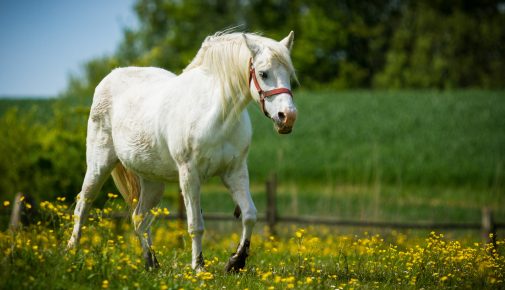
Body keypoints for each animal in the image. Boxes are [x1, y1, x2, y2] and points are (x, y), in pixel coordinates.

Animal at [66, 31, 296, 272]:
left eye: (289, 74)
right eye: (263, 73)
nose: (287, 117)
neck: (216, 114)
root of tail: (109, 78)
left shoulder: (235, 172)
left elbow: (250, 214)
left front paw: (235, 262)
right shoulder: (189, 174)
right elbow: (196, 224)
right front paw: (199, 267)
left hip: (152, 183)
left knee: (140, 218)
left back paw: (152, 264)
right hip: (99, 165)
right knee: (83, 205)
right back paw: (72, 253)